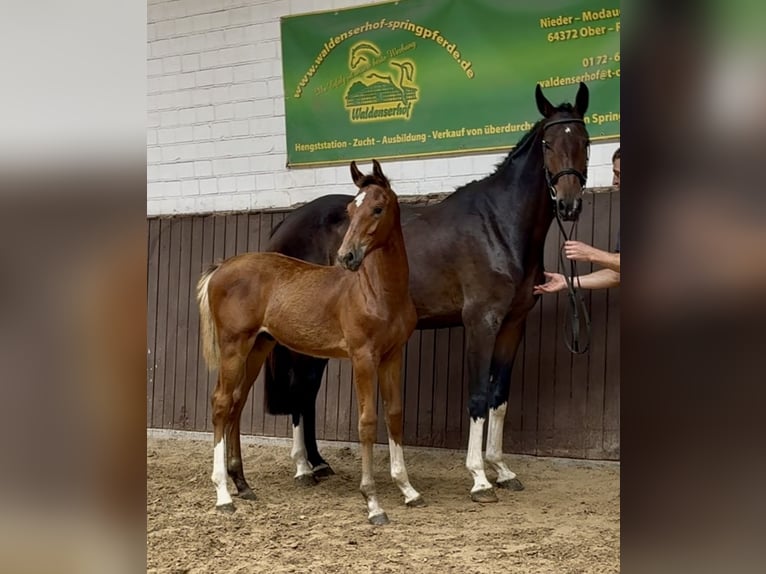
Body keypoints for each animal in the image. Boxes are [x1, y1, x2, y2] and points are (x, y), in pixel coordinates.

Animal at [196, 160, 424, 525]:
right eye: (350, 209)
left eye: (377, 208)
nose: (347, 256)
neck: (377, 292)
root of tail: (221, 268)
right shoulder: (363, 357)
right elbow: (367, 422)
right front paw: (372, 502)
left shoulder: (392, 355)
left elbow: (395, 414)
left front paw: (408, 490)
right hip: (234, 346)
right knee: (220, 403)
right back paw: (223, 495)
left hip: (258, 346)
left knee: (237, 402)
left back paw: (242, 484)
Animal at [263, 82, 591, 503]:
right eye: (548, 143)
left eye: (584, 140)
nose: (568, 204)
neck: (498, 226)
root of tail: (284, 225)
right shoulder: (481, 323)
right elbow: (478, 398)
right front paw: (479, 478)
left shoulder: (513, 325)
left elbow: (499, 397)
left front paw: (502, 470)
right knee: (301, 388)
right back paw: (304, 467)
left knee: (306, 390)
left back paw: (318, 464)